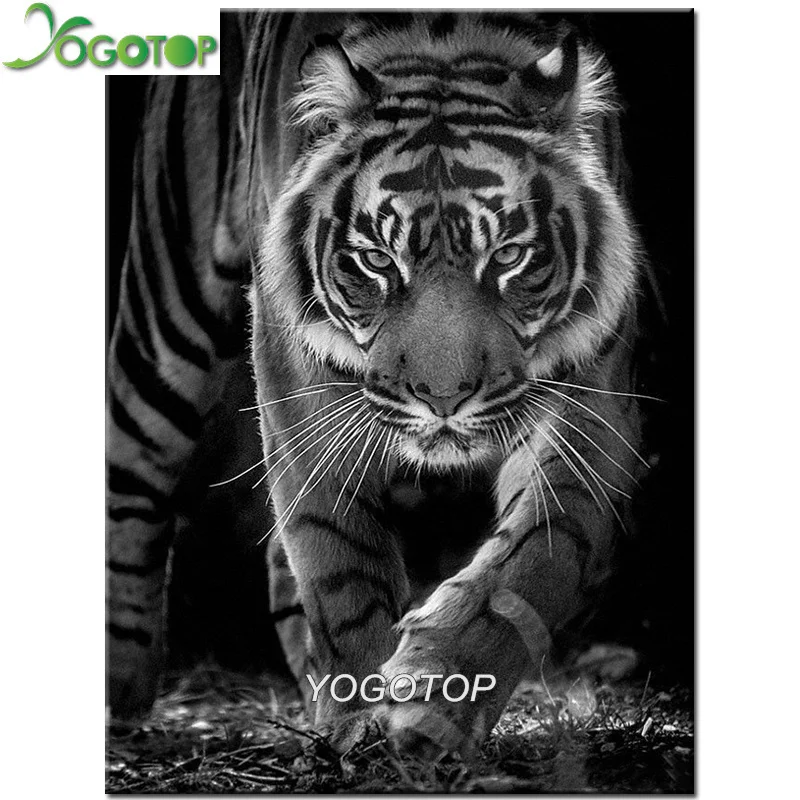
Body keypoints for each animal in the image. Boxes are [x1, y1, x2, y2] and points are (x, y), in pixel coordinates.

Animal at [107, 11, 652, 756]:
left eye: (508, 256)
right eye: (376, 261)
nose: (444, 399)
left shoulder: (589, 413)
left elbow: (535, 560)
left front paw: (434, 702)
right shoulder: (298, 383)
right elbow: (339, 556)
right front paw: (366, 717)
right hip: (169, 297)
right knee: (130, 466)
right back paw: (120, 690)